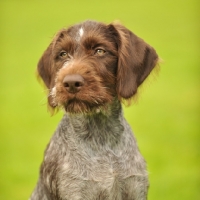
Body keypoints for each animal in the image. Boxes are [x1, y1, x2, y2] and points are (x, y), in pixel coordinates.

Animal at [30, 19, 158, 199]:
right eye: (62, 54)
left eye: (99, 51)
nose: (70, 83)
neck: (101, 137)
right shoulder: (75, 191)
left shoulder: (136, 187)